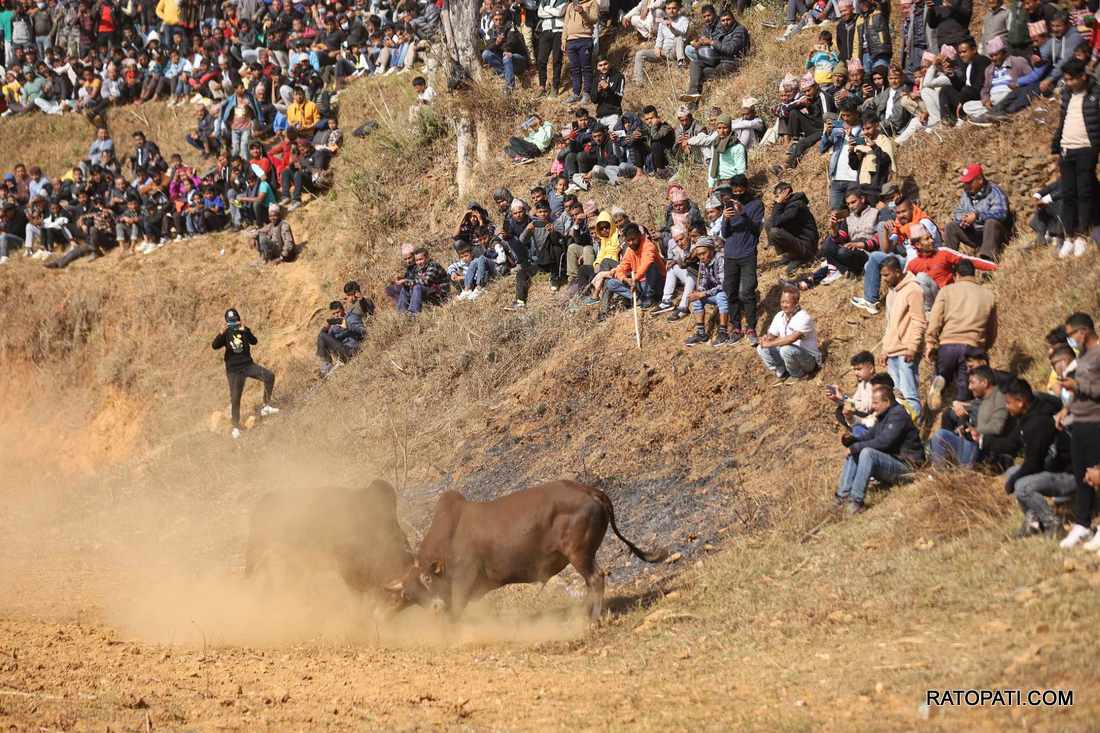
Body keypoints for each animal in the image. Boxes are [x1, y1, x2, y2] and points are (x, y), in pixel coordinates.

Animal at [382, 477, 664, 620]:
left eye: (428, 579)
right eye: (409, 594)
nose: (435, 608)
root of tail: (590, 491)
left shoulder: (463, 580)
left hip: (579, 554)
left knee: (596, 578)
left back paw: (593, 618)